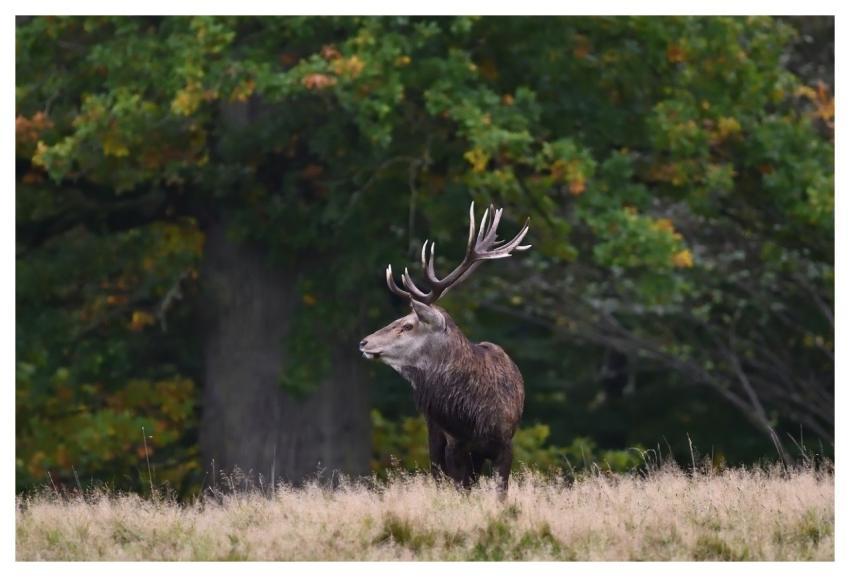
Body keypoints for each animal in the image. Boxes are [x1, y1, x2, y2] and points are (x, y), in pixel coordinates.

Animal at [359, 202, 531, 495]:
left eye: (407, 325)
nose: (364, 342)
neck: (474, 416)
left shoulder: (505, 444)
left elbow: (500, 492)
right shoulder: (454, 445)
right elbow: (459, 490)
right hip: (435, 438)